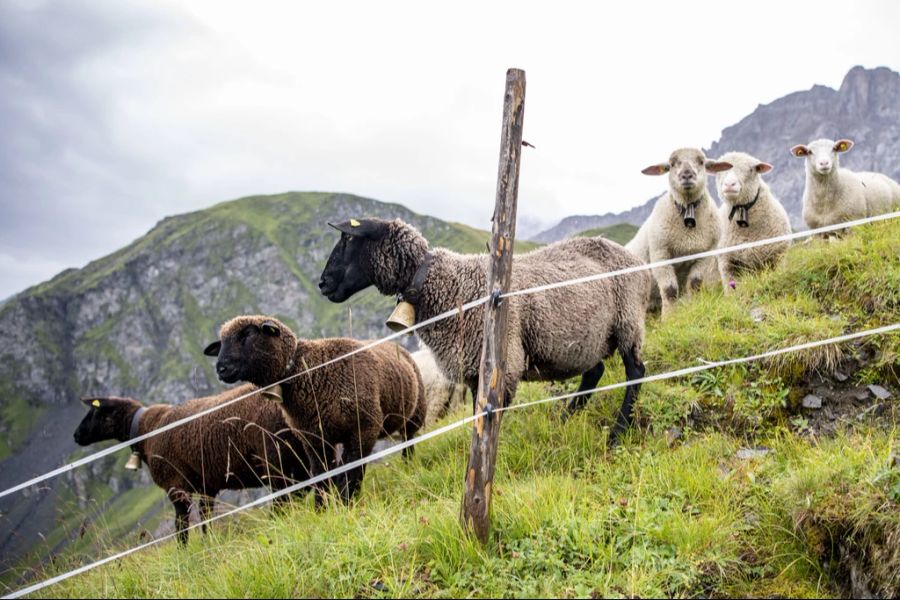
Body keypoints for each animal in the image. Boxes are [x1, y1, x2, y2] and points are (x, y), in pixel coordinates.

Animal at [71, 386, 310, 548]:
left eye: (94, 412)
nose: (76, 435)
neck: (144, 429)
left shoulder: (175, 487)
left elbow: (181, 528)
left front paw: (184, 555)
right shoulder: (207, 486)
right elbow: (206, 520)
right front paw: (209, 545)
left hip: (276, 460)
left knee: (284, 500)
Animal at [204, 316, 428, 504]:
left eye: (247, 334)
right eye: (221, 343)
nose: (221, 369)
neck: (309, 371)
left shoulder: (364, 429)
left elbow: (351, 472)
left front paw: (347, 503)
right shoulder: (313, 439)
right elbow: (322, 477)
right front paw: (323, 509)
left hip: (414, 415)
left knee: (408, 442)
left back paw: (409, 466)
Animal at [316, 218, 648, 442]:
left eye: (348, 240)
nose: (322, 283)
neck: (446, 285)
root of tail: (634, 258)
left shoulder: (503, 363)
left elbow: (490, 415)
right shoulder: (474, 368)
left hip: (627, 321)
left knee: (636, 371)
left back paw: (618, 432)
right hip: (589, 337)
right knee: (594, 372)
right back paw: (566, 419)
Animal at [624, 147, 732, 316]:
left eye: (701, 161)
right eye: (672, 164)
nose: (687, 175)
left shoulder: (706, 254)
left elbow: (695, 284)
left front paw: (692, 308)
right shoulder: (660, 254)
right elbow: (669, 290)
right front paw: (669, 317)